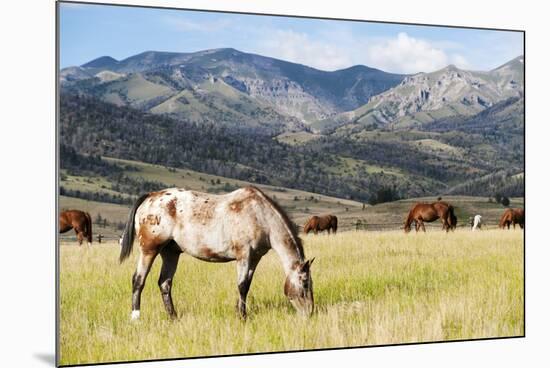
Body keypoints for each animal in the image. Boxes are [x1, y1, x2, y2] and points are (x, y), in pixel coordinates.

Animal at [121, 185, 316, 320]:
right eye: (305, 283)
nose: (310, 313)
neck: (260, 215)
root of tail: (150, 196)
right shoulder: (243, 255)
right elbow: (242, 285)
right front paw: (242, 317)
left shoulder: (255, 258)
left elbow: (247, 286)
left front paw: (240, 312)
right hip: (149, 250)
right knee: (138, 280)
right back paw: (136, 317)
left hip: (171, 253)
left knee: (164, 283)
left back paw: (173, 317)